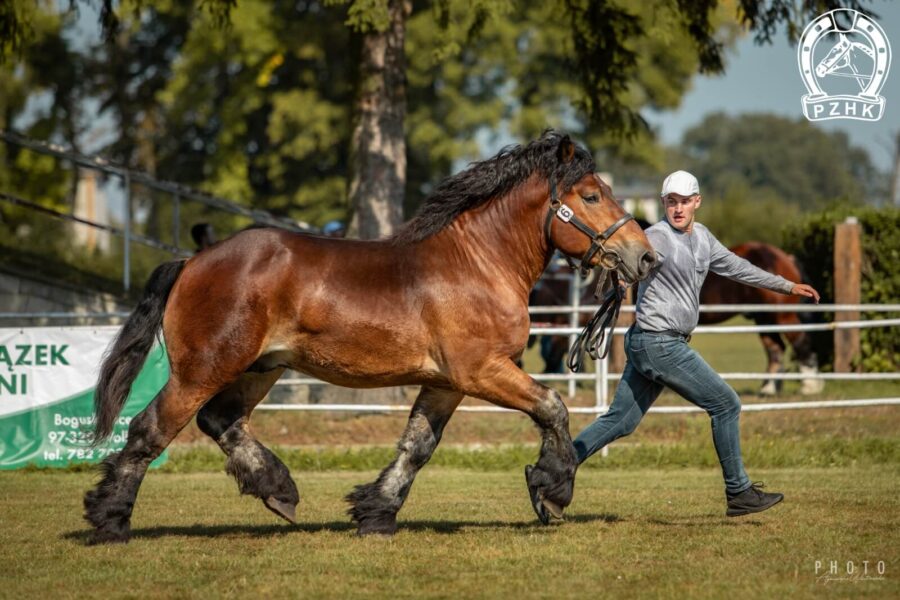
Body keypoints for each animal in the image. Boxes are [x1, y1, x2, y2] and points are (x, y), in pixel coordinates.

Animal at [82, 131, 652, 544]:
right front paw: (552, 490)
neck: (478, 264)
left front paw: (375, 513)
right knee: (152, 429)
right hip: (205, 368)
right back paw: (110, 521)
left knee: (220, 420)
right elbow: (552, 406)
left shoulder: (446, 382)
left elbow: (416, 448)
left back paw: (280, 492)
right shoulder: (483, 371)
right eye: (592, 195)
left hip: (261, 367)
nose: (644, 256)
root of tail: (192, 261)